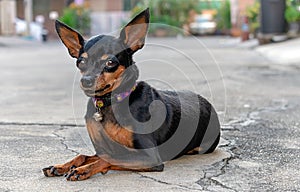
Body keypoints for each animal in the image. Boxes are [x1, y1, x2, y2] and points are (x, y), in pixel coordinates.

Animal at [42, 8, 220, 181]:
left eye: (110, 62)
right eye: (81, 62)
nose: (86, 81)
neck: (111, 102)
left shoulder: (149, 157)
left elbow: (108, 158)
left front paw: (82, 170)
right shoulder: (103, 149)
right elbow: (83, 155)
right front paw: (62, 166)